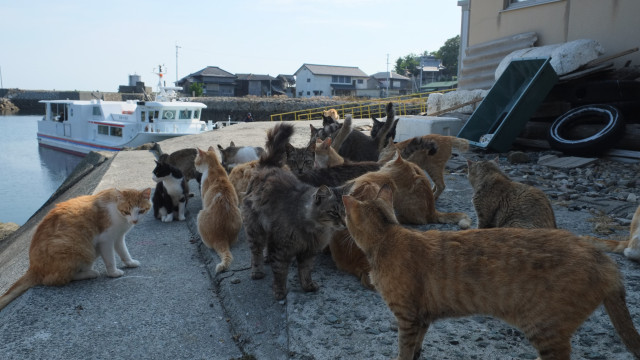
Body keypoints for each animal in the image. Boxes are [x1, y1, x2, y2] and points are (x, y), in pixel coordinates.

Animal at [0, 187, 151, 310]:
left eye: (141, 211)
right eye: (126, 211)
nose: (134, 220)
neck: (118, 213)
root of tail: (33, 267)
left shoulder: (118, 237)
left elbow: (124, 251)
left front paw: (130, 263)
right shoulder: (106, 239)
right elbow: (110, 259)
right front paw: (113, 272)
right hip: (79, 249)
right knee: (56, 279)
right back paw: (90, 273)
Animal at [242, 124, 348, 300]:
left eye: (345, 212)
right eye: (334, 212)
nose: (344, 223)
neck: (315, 229)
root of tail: (267, 166)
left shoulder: (309, 252)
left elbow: (305, 271)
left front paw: (308, 286)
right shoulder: (281, 250)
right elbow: (280, 272)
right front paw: (279, 292)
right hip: (255, 228)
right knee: (255, 252)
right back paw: (257, 271)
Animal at [344, 186, 640, 360]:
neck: (389, 237)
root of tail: (603, 260)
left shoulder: (407, 317)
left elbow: (405, 349)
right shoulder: (422, 317)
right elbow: (417, 346)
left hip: (545, 328)